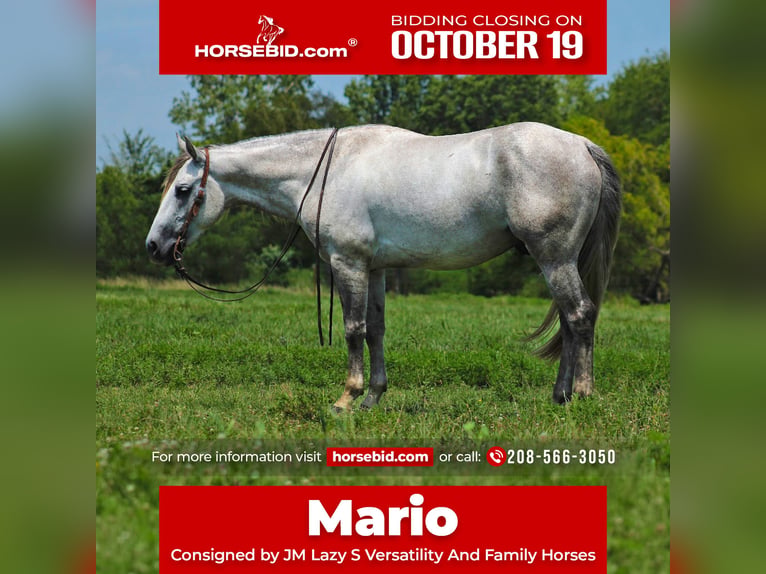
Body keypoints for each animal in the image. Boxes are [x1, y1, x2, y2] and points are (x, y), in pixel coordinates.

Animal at [146, 123, 621, 410]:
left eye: (183, 190)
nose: (154, 246)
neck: (327, 170)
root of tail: (583, 146)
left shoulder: (348, 263)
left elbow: (353, 330)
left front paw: (346, 398)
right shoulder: (374, 269)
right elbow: (375, 329)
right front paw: (373, 397)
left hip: (554, 258)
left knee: (580, 316)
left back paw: (581, 394)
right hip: (558, 262)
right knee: (569, 321)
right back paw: (560, 396)